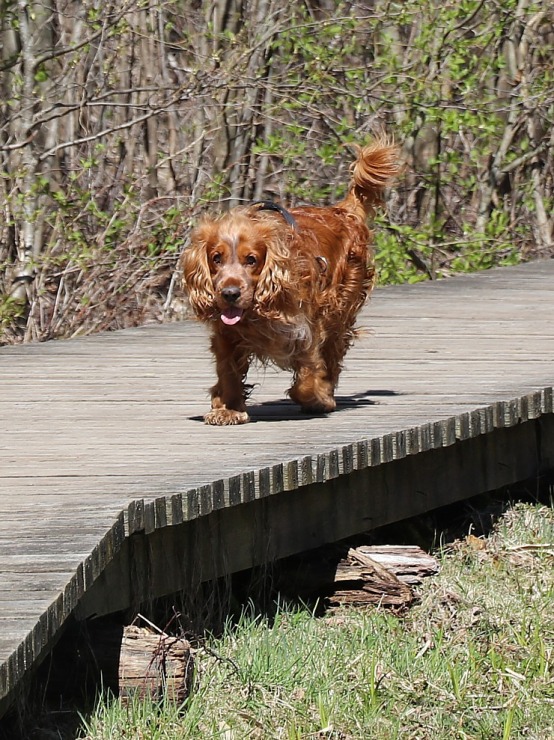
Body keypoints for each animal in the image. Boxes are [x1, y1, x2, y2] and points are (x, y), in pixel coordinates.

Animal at [181, 139, 396, 424]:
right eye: (216, 258)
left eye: (251, 260)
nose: (229, 293)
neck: (256, 312)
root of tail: (341, 211)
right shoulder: (227, 334)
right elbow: (228, 371)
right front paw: (228, 408)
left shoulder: (306, 329)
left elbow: (306, 377)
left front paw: (318, 398)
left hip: (339, 311)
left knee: (333, 355)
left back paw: (327, 391)